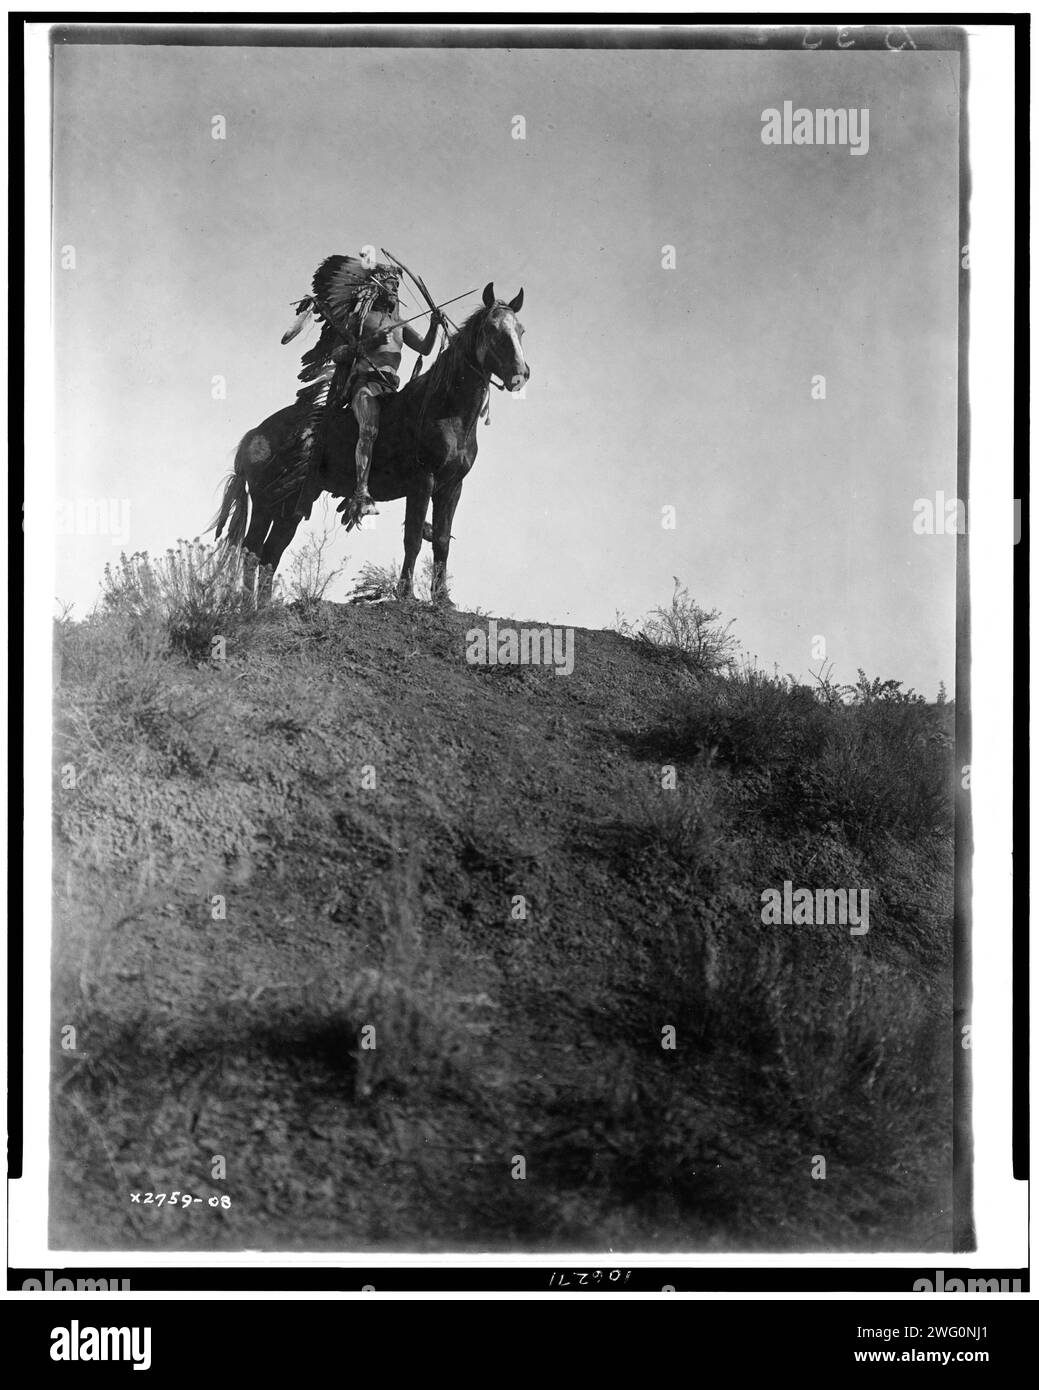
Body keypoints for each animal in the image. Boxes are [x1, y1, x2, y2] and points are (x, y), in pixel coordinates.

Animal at [208, 280, 531, 603]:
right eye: (492, 329)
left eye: (521, 330)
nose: (520, 375)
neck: (445, 409)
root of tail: (253, 436)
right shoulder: (422, 481)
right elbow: (413, 538)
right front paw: (406, 593)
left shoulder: (451, 486)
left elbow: (441, 540)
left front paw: (442, 599)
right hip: (265, 502)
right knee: (252, 550)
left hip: (290, 505)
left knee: (270, 554)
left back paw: (263, 606)